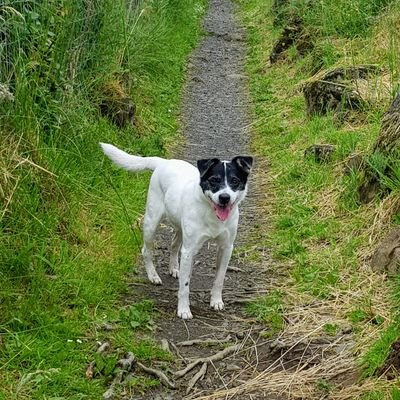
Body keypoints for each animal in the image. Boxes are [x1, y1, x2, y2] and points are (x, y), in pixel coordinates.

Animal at [101, 142, 255, 320]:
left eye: (235, 181)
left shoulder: (226, 248)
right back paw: (153, 276)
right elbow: (185, 285)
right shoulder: (189, 250)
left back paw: (174, 268)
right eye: (214, 180)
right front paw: (183, 310)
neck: (211, 213)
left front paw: (216, 301)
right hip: (151, 223)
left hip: (180, 229)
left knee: (174, 245)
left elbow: (219, 278)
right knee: (146, 250)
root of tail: (163, 162)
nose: (224, 197)